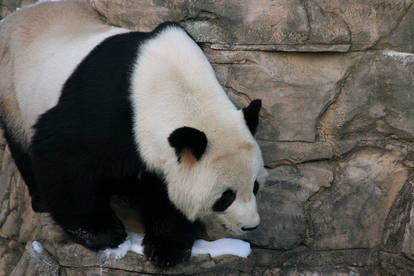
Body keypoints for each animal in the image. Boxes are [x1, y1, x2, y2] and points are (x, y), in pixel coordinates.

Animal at [0, 0, 268, 268]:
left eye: (255, 186)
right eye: (226, 197)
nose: (250, 226)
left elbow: (165, 191)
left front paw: (166, 248)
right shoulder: (105, 110)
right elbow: (60, 154)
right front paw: (106, 234)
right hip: (12, 92)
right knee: (24, 147)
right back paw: (41, 200)